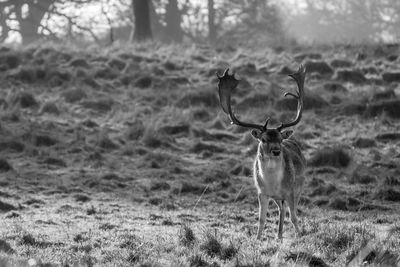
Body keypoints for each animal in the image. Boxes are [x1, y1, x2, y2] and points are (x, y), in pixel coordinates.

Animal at [216, 65, 306, 241]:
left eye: (280, 139)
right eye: (263, 139)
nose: (276, 151)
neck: (273, 183)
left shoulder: (291, 191)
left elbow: (294, 217)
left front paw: (299, 236)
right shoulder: (261, 193)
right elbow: (261, 219)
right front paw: (257, 239)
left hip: (299, 188)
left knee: (287, 210)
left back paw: (282, 235)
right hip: (277, 197)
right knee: (281, 209)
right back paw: (279, 236)